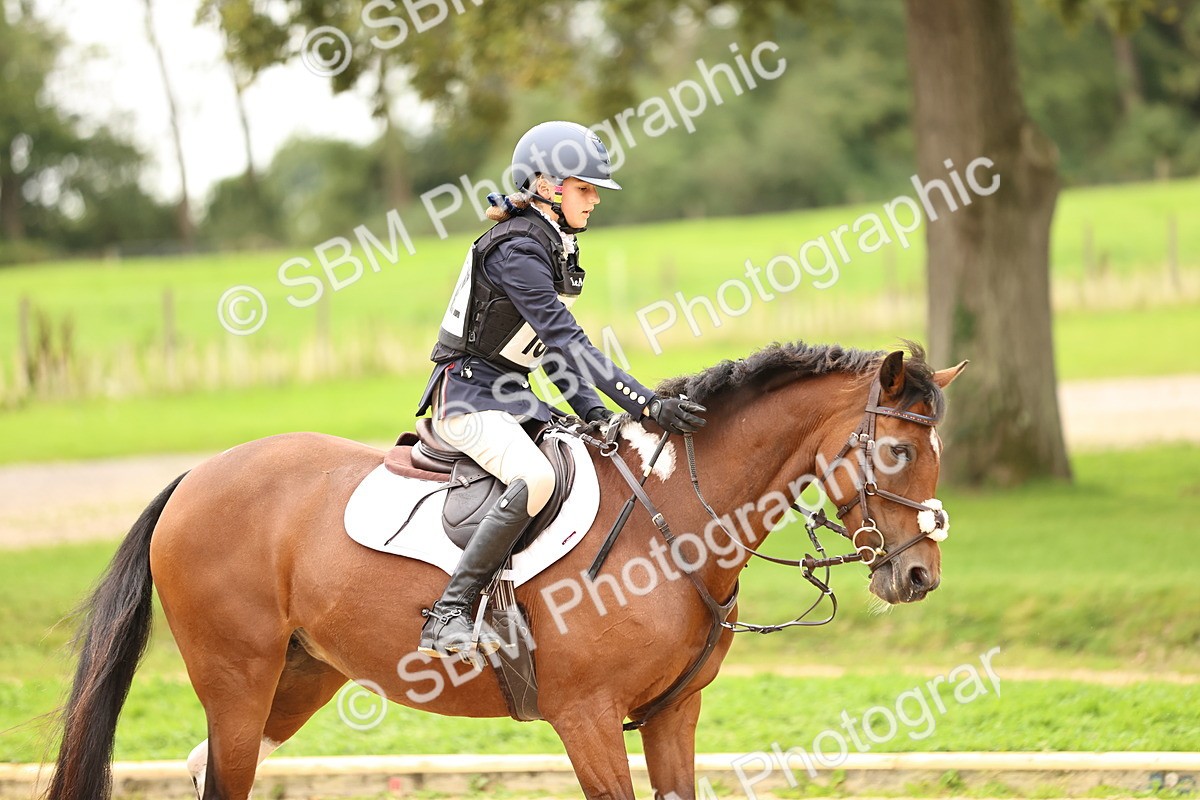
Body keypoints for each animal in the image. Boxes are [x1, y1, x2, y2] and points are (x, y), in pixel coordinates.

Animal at [45, 342, 965, 800]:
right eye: (895, 451)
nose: (921, 576)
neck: (677, 515)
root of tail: (195, 478)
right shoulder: (586, 718)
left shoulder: (674, 716)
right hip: (238, 680)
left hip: (297, 679)